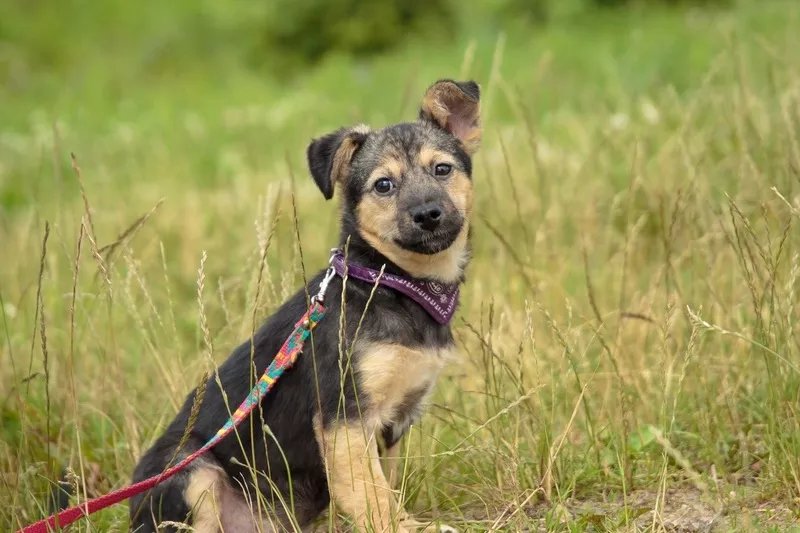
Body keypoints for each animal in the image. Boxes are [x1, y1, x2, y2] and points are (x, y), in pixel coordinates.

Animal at [130, 79, 482, 532]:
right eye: (383, 185)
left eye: (442, 169)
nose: (428, 214)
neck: (389, 280)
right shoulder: (345, 415)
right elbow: (374, 496)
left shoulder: (392, 424)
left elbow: (384, 486)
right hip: (191, 471)